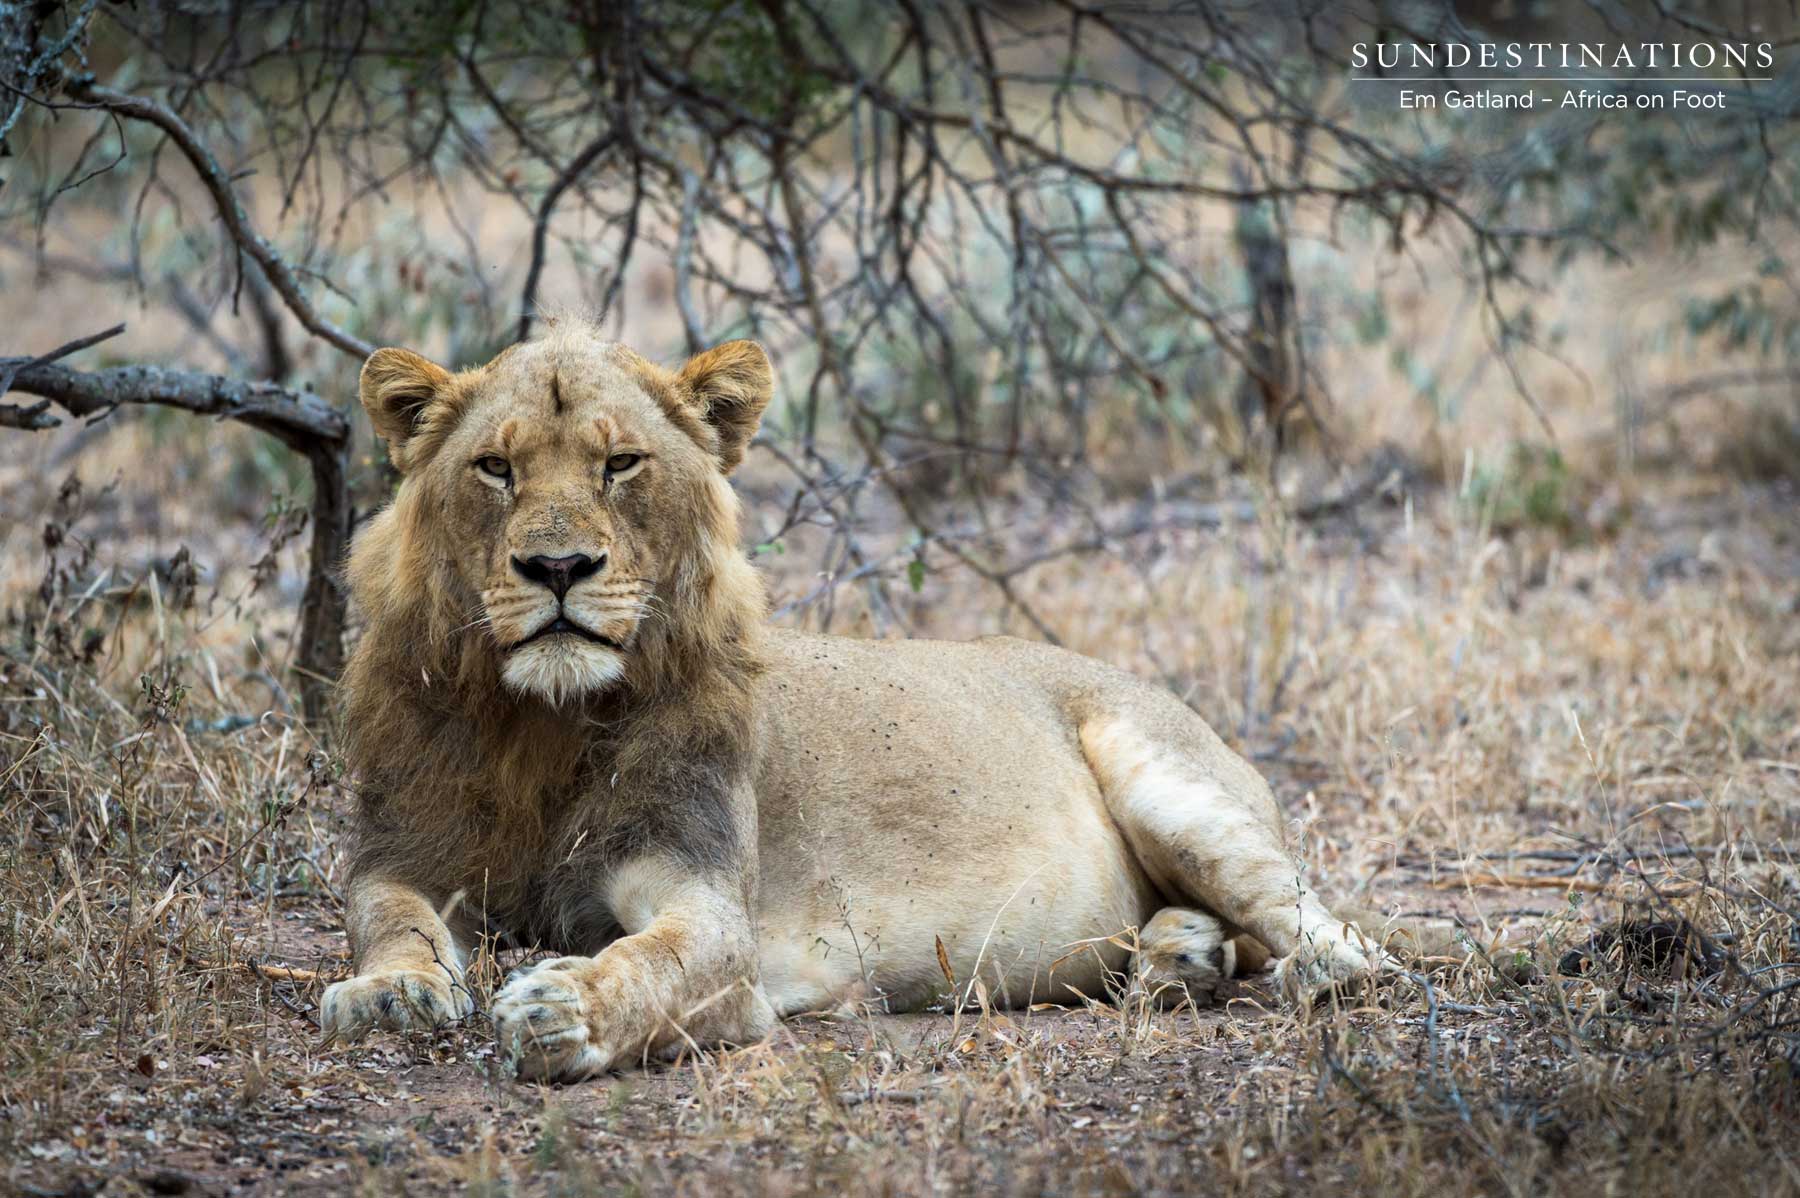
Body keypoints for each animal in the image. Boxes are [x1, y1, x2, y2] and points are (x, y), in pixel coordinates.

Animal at [320, 319, 1385, 1081]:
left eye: (620, 464)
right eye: (495, 468)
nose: (556, 568)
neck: (541, 724)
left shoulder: (714, 912)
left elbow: (651, 965)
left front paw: (558, 1009)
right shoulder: (404, 853)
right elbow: (389, 922)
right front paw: (387, 995)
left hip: (1174, 788)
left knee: (1339, 939)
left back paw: (1278, 970)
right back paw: (1175, 961)